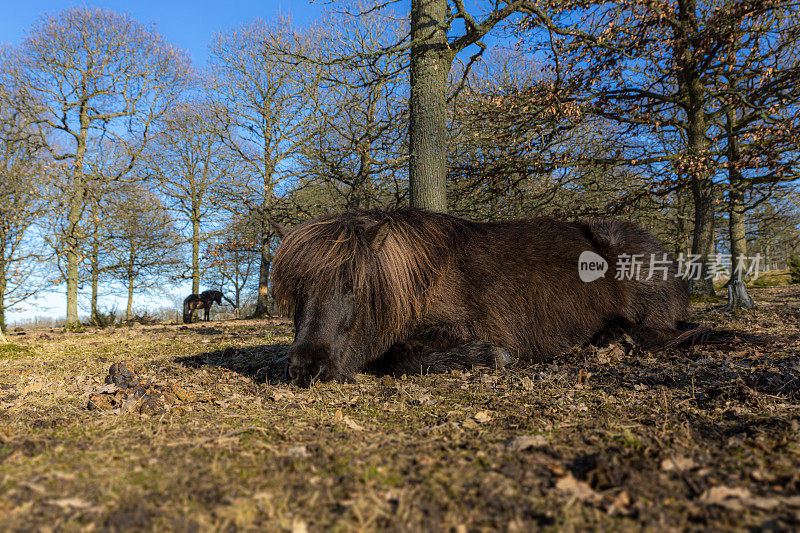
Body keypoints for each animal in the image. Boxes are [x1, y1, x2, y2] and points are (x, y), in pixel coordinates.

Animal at [270, 208, 692, 386]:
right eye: (297, 291)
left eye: (353, 287)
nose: (304, 369)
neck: (421, 280)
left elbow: (400, 356)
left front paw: (492, 357)